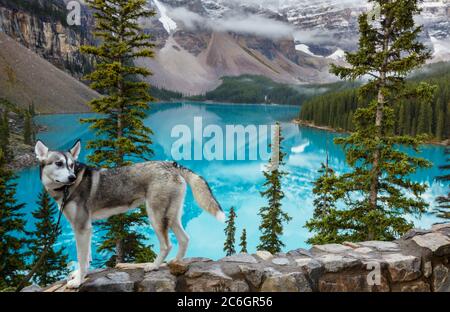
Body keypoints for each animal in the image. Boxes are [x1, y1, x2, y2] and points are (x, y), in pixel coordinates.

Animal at [34, 140, 225, 288]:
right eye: (59, 163)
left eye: (71, 165)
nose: (72, 177)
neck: (66, 189)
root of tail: (171, 164)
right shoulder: (83, 228)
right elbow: (86, 257)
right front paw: (80, 274)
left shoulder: (82, 227)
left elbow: (81, 257)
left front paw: (78, 281)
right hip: (171, 216)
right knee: (184, 239)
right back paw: (175, 263)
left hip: (156, 216)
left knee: (167, 245)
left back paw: (154, 266)